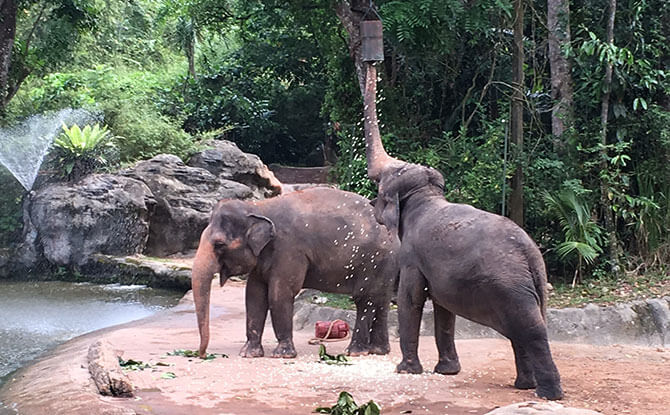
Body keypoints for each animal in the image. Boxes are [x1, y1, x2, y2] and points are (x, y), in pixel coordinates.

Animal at [192, 188, 400, 360]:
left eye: (219, 245)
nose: (202, 355)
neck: (259, 207)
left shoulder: (289, 249)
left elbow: (279, 294)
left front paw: (282, 355)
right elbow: (254, 296)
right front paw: (249, 354)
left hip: (373, 261)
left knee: (364, 300)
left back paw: (354, 352)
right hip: (386, 265)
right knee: (381, 301)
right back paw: (378, 351)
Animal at [360, 63, 564, 402]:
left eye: (380, 184)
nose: (371, 63)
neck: (426, 195)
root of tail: (531, 255)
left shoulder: (412, 256)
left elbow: (411, 298)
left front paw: (405, 371)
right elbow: (443, 308)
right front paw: (447, 372)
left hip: (510, 288)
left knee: (531, 330)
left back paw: (547, 394)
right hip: (528, 287)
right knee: (529, 328)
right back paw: (524, 385)